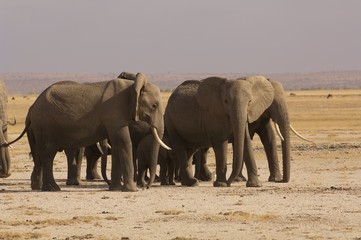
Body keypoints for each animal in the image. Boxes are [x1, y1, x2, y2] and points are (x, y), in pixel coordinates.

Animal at [4, 72, 169, 192]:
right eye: (154, 106)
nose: (146, 187)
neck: (133, 86)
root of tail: (32, 108)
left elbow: (117, 144)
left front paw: (115, 189)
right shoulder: (115, 112)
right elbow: (123, 142)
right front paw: (132, 190)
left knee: (41, 153)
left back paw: (40, 188)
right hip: (46, 125)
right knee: (48, 153)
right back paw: (52, 189)